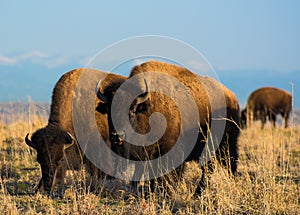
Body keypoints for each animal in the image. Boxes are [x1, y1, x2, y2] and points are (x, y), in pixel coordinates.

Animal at [97, 60, 240, 195]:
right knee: (209, 169)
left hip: (227, 145)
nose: (117, 136)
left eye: (132, 110)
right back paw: (198, 193)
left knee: (229, 165)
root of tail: (232, 97)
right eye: (108, 111)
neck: (147, 108)